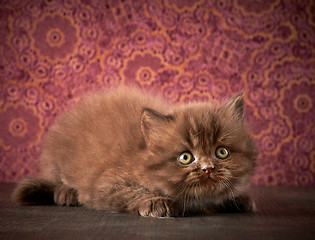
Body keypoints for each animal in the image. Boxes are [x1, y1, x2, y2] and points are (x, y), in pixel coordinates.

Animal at [12, 86, 260, 218]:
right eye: (186, 157)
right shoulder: (104, 183)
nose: (208, 169)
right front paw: (157, 202)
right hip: (56, 160)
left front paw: (237, 198)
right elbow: (132, 192)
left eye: (222, 152)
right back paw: (66, 193)